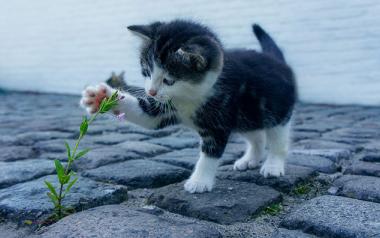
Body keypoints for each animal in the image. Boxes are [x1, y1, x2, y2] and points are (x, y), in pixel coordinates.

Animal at [80, 20, 296, 193]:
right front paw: (101, 97)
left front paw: (199, 182)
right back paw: (250, 159)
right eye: (146, 71)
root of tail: (277, 61)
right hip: (247, 116)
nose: (151, 92)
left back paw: (273, 165)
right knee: (257, 136)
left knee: (278, 140)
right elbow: (146, 115)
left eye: (169, 80)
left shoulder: (219, 120)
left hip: (276, 111)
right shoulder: (164, 108)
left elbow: (210, 153)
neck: (191, 96)